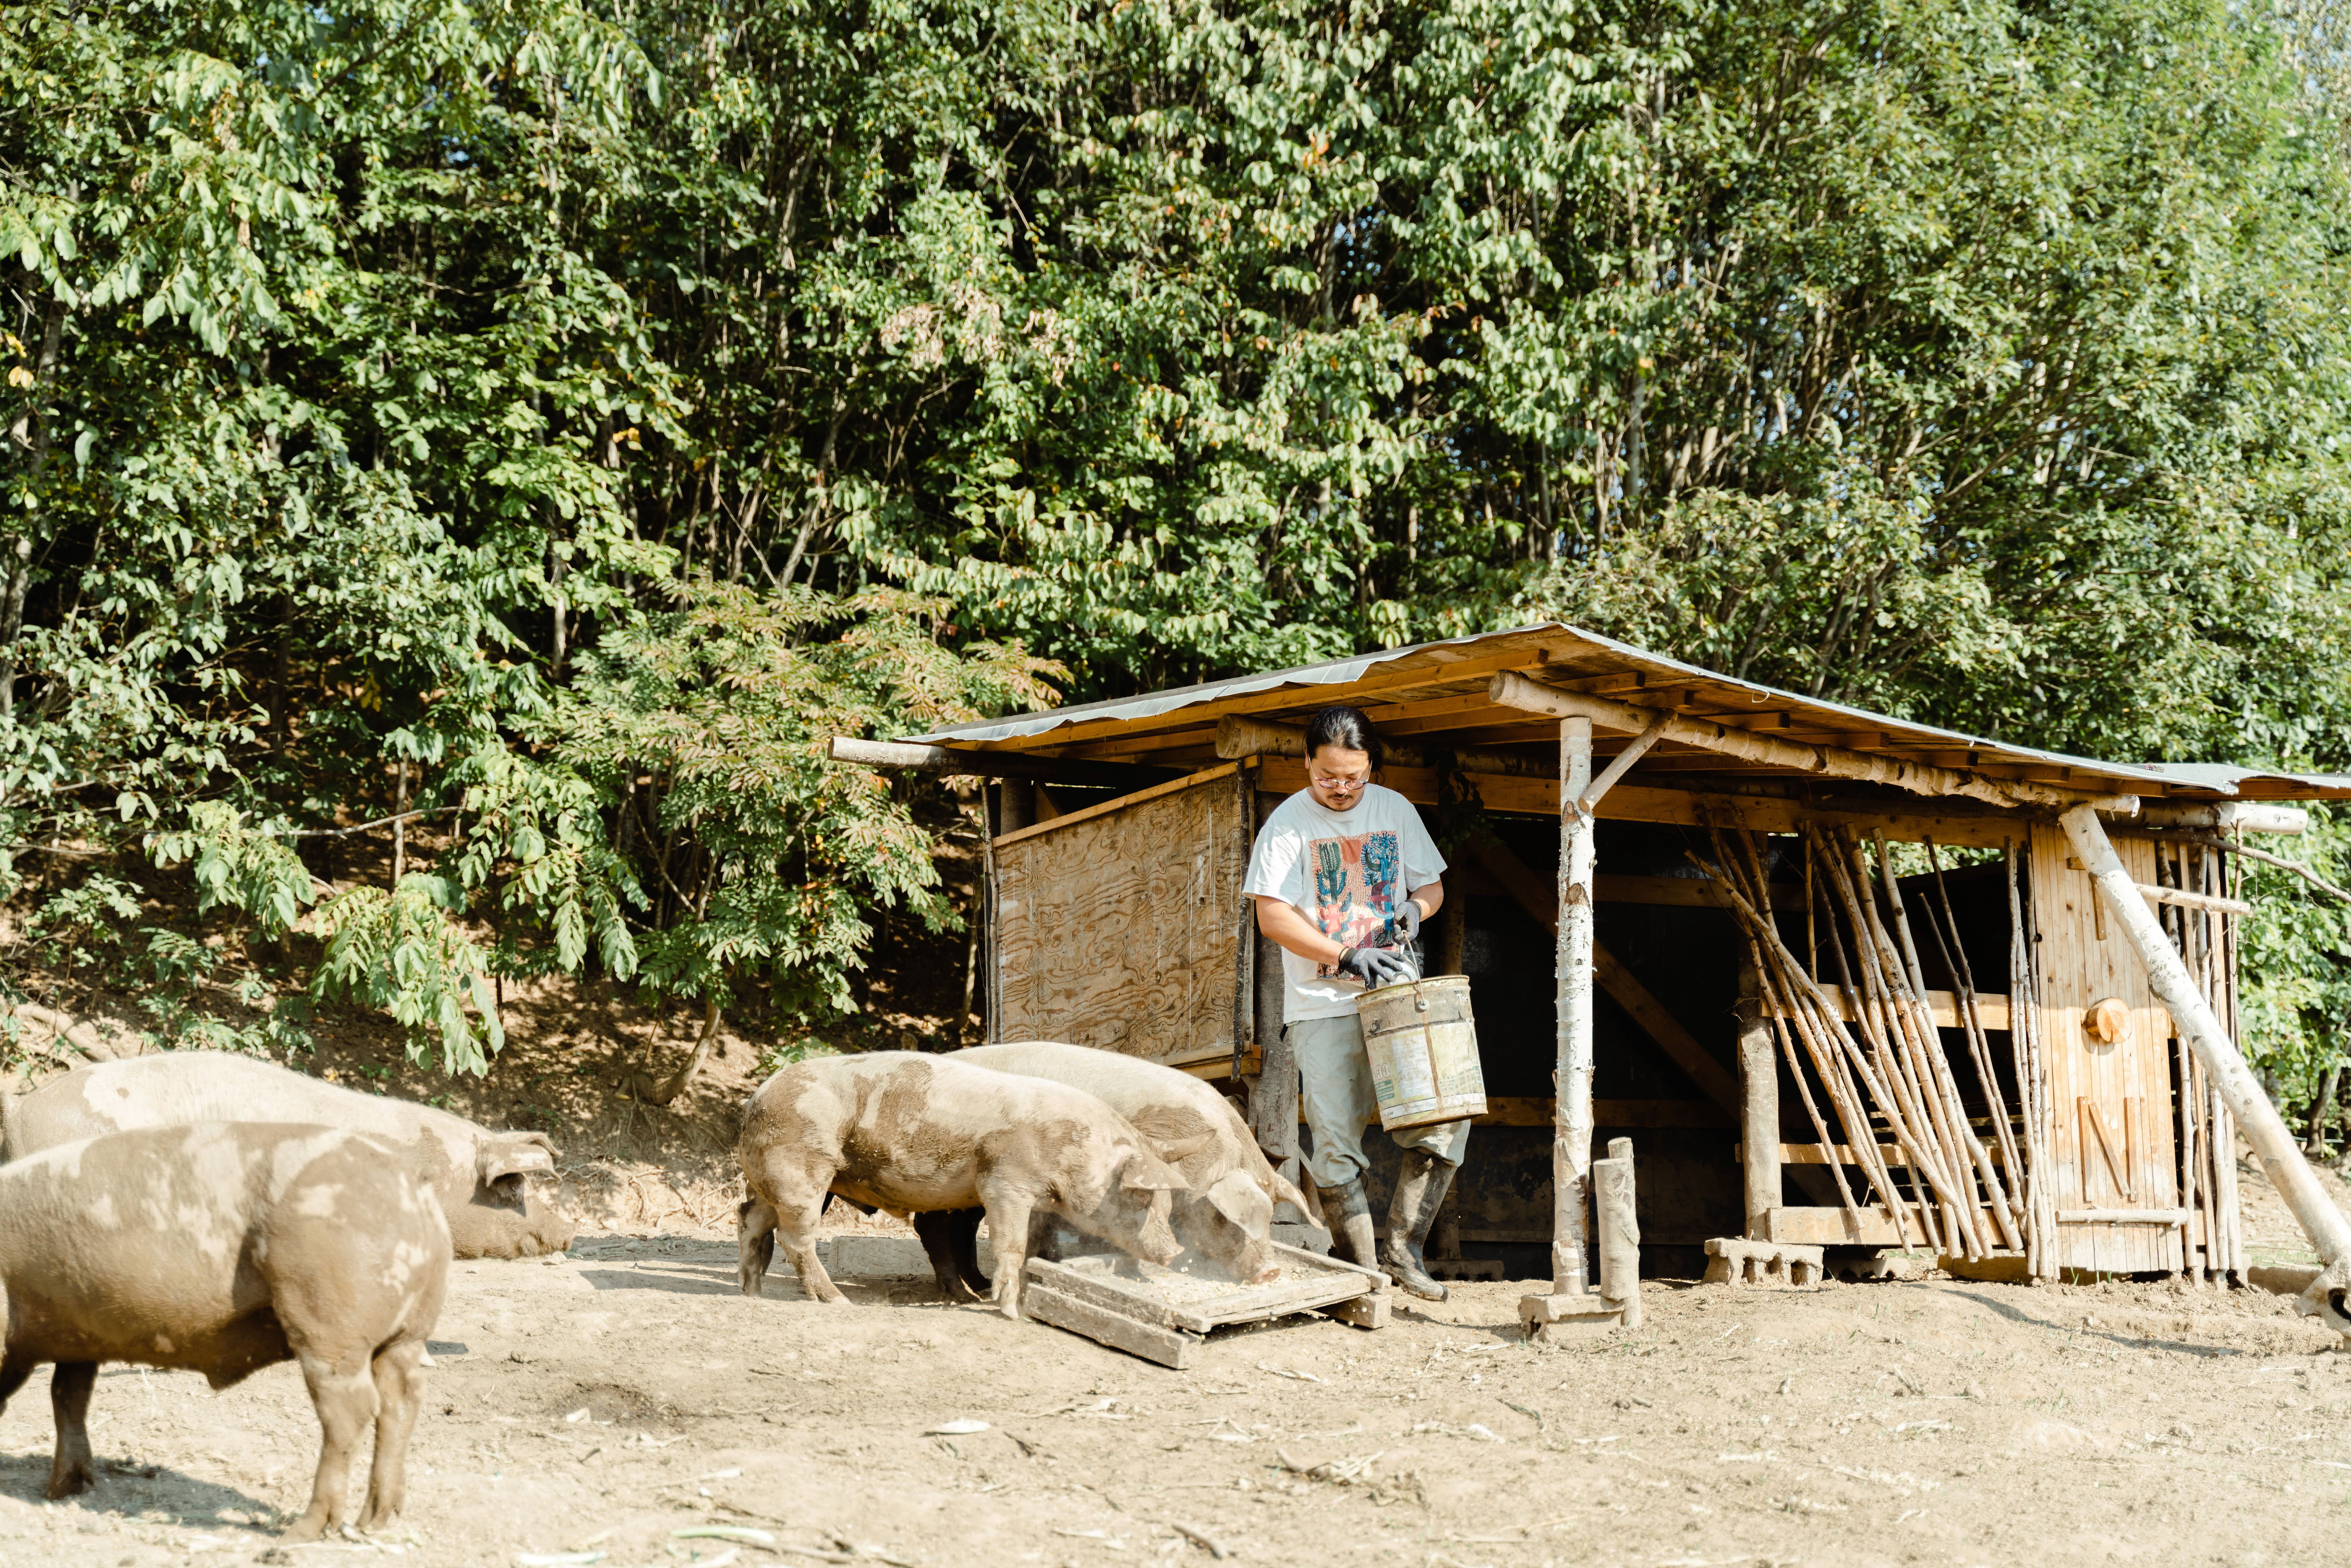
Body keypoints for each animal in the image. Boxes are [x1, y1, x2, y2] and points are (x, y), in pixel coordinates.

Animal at [0, 1124, 449, 1542]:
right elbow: (69, 1397)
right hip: (407, 1335)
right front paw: (62, 1491)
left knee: (350, 1413)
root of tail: (413, 1187)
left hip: (329, 1324)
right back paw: (375, 1521)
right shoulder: (78, 1338)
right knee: (402, 1400)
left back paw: (301, 1532)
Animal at [738, 1048, 1223, 1316]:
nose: (1173, 1251)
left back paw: (753, 1292)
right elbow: (1009, 1243)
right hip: (801, 1166)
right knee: (795, 1237)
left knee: (751, 1220)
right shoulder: (1004, 1182)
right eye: (1141, 1198)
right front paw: (1009, 1311)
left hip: (771, 1178)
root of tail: (757, 1096)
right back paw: (838, 1301)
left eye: (1165, 1205)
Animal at [922, 1044, 1326, 1298]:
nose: (1270, 1271)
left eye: (1271, 1217)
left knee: (959, 1227)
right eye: (1223, 1217)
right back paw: (961, 1295)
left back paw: (977, 1284)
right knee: (934, 1226)